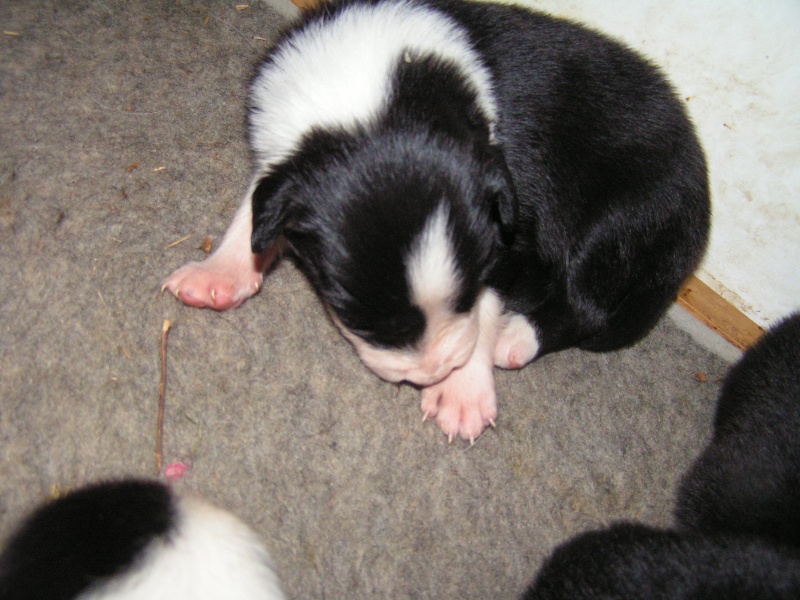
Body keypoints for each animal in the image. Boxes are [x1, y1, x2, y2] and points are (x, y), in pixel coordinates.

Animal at [161, 0, 708, 440]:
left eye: (465, 296)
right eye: (368, 321)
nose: (430, 372)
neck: (378, 102)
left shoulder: (512, 225)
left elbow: (487, 305)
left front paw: (461, 393)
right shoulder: (287, 155)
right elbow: (258, 204)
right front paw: (218, 273)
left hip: (622, 219)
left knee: (586, 303)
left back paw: (515, 334)